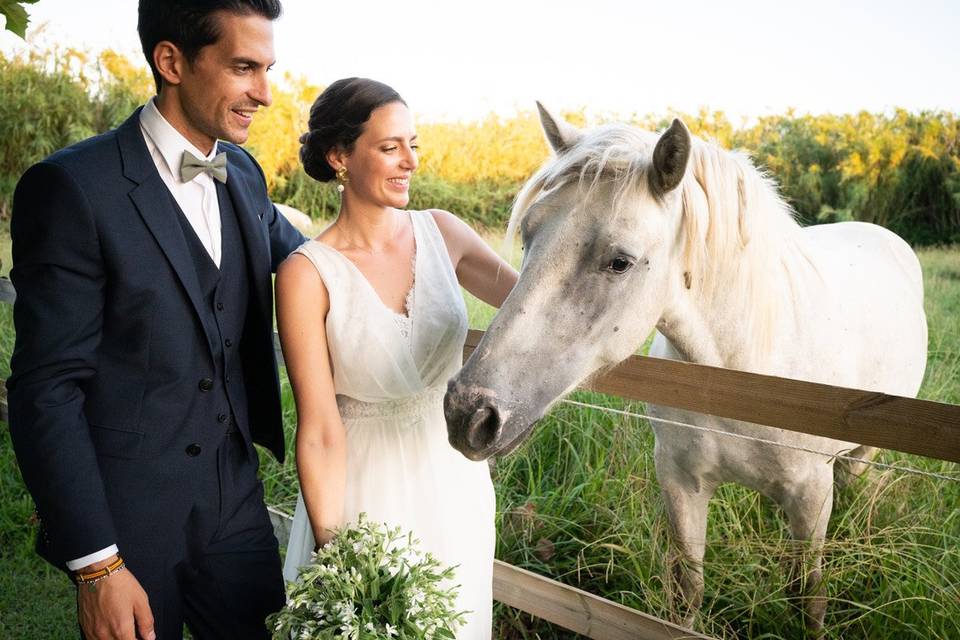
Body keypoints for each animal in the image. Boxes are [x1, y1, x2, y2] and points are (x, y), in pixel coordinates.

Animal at [446, 102, 928, 632]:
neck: (741, 380)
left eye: (620, 261)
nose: (468, 414)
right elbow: (688, 590)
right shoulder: (680, 482)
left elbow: (809, 600)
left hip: (861, 454)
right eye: (529, 234)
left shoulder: (810, 495)